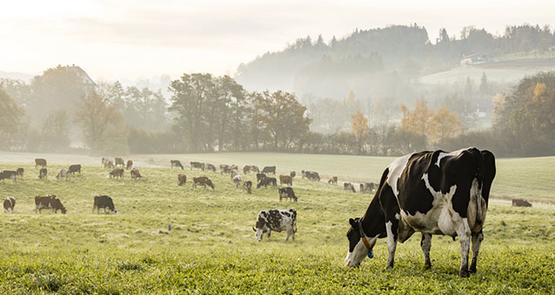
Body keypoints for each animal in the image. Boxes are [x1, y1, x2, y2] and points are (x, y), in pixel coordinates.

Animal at [346, 149, 498, 278]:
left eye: (349, 236)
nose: (347, 263)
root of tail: (474, 151)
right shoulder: (427, 220)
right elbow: (425, 244)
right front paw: (427, 265)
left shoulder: (390, 214)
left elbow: (391, 243)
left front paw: (388, 266)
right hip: (480, 213)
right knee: (477, 237)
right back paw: (472, 268)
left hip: (458, 213)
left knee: (465, 236)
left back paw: (463, 270)